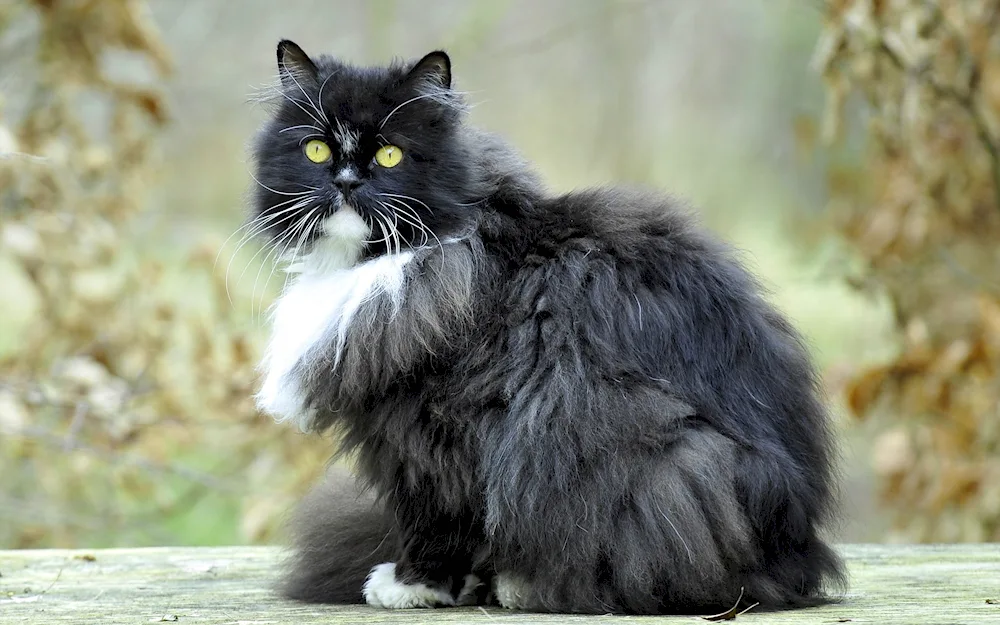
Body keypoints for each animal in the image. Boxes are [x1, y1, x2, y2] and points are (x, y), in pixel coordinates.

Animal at [250, 40, 844, 616]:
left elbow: (434, 518)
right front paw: (456, 584)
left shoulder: (431, 436)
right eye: (317, 150)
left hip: (653, 460)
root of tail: (799, 553)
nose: (347, 182)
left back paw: (525, 585)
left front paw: (412, 585)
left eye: (390, 153)